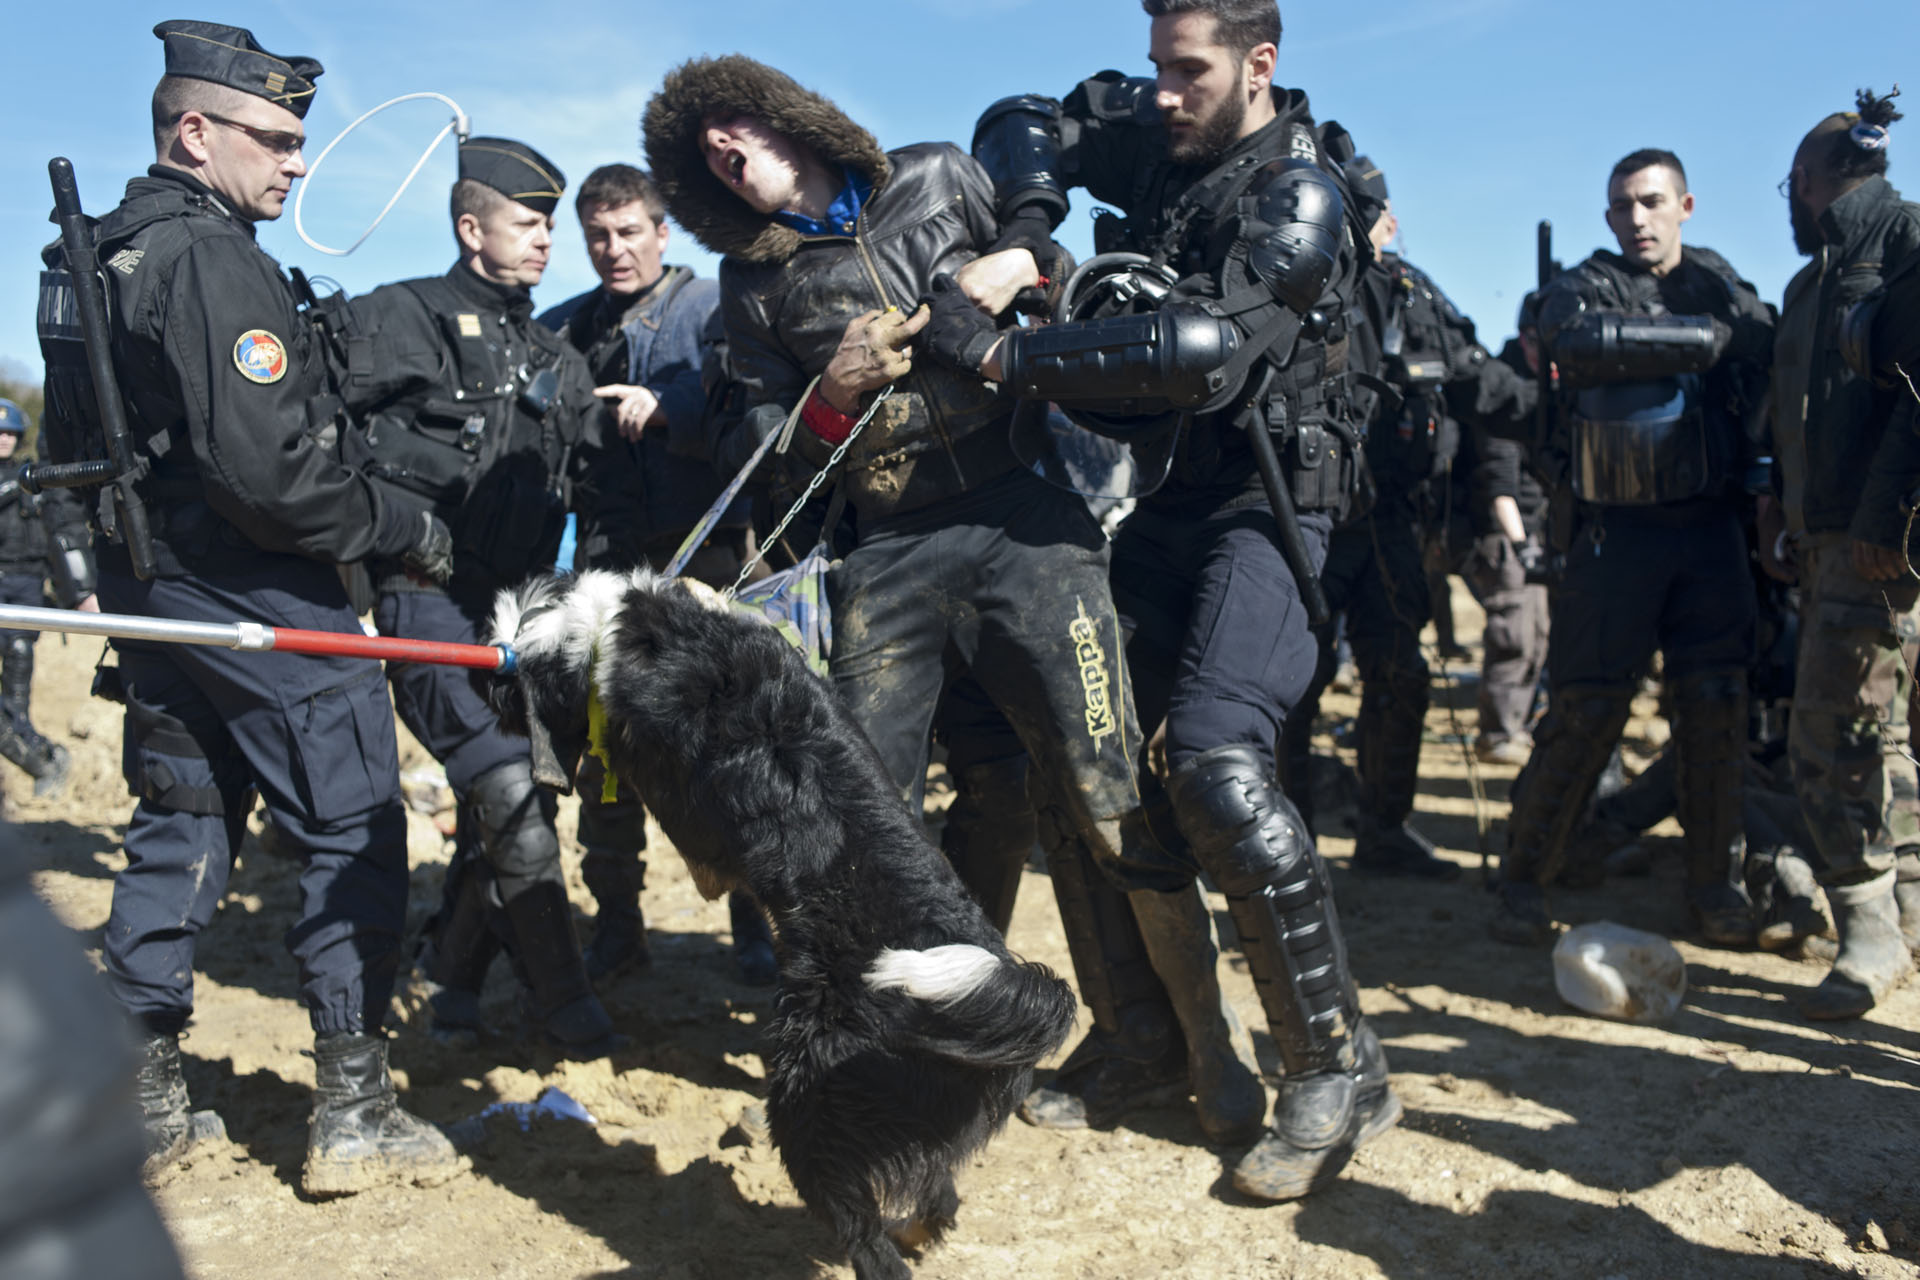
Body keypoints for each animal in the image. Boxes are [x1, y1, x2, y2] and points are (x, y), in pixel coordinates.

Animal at [480, 571, 1082, 1280]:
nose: (484, 691)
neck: (621, 628)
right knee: (937, 1194)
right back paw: (920, 1228)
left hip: (806, 1107)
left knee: (868, 1238)